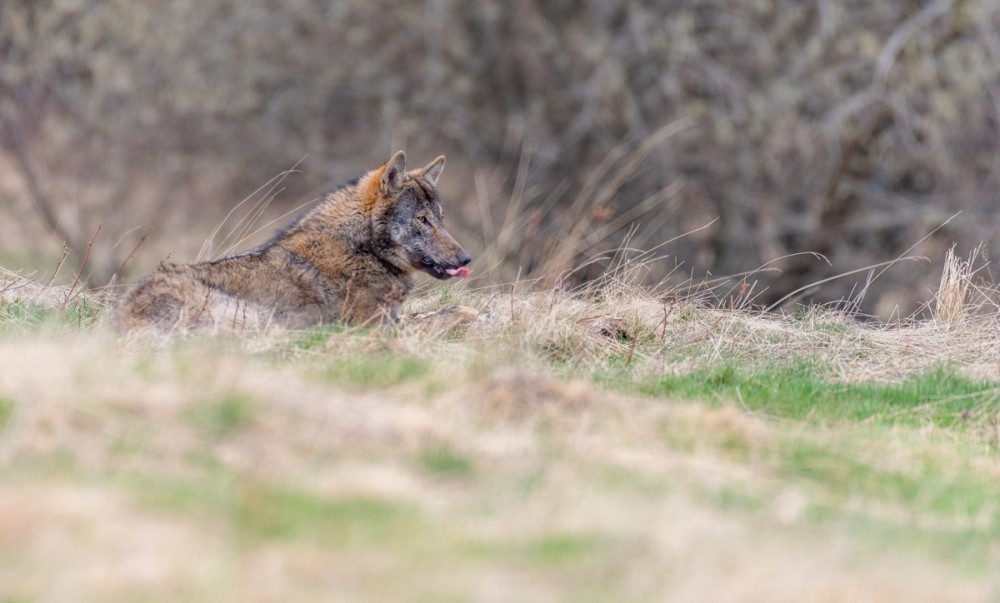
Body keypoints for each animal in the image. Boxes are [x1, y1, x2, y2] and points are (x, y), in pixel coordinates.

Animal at [118, 150, 472, 330]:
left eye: (441, 218)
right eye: (422, 220)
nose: (466, 259)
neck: (362, 249)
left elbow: (436, 311)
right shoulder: (373, 324)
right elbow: (445, 315)